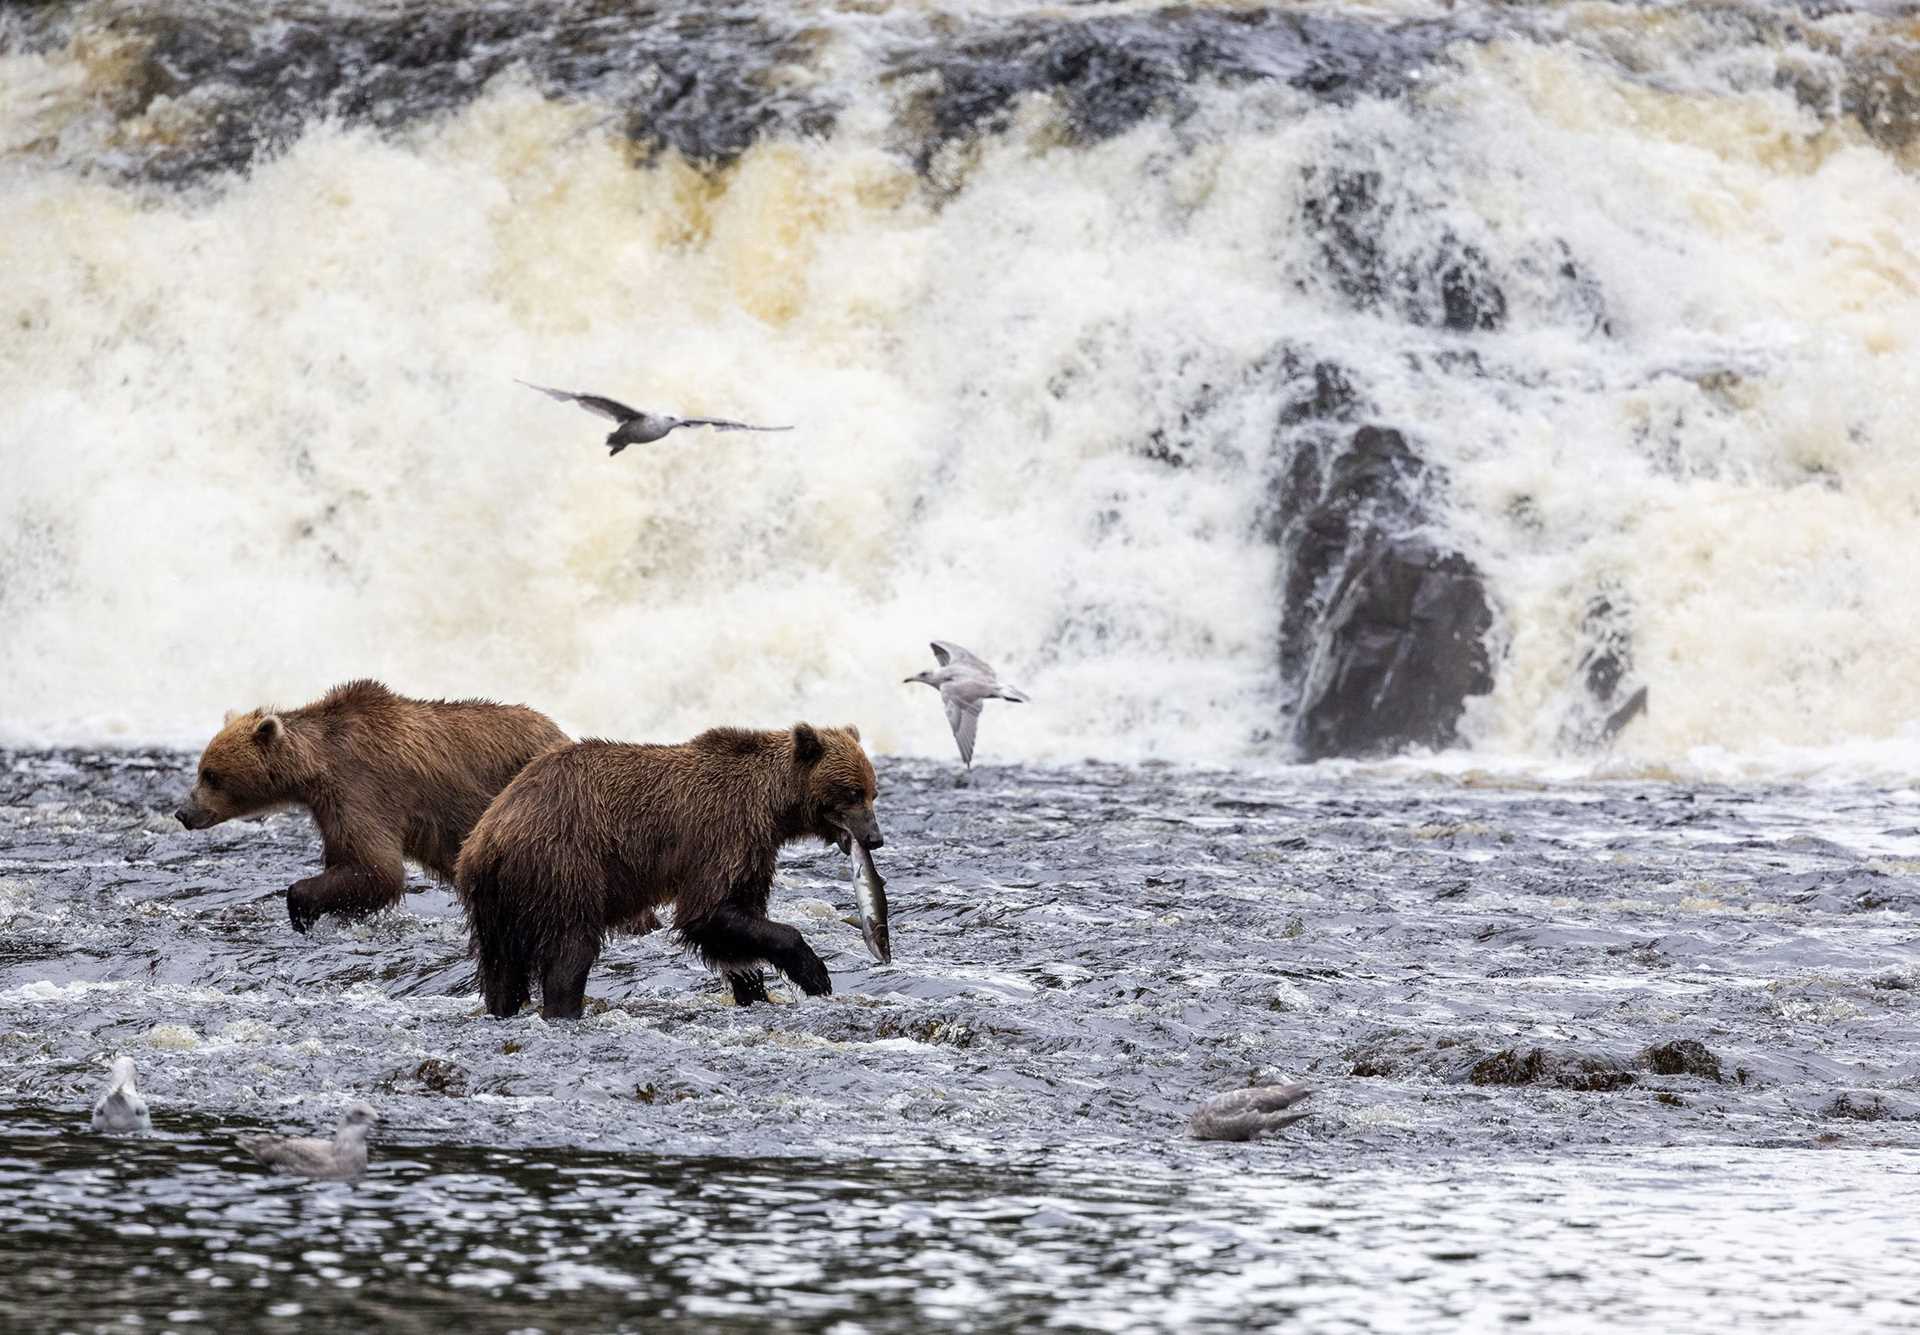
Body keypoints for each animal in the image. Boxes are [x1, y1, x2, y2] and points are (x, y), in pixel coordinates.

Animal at [177, 679, 568, 929]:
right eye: (201, 770)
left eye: (211, 775)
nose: (183, 812)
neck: (316, 765)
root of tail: (560, 732)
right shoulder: (329, 806)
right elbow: (351, 861)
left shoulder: (362, 788)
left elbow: (377, 867)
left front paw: (301, 907)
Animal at [456, 726, 883, 1021]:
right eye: (852, 792)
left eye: (872, 791)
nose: (874, 838)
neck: (771, 807)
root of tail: (489, 835)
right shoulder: (721, 835)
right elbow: (708, 913)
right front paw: (814, 973)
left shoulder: (753, 854)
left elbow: (737, 926)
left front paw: (753, 991)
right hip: (564, 866)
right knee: (570, 950)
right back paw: (564, 1008)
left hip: (496, 901)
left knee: (501, 969)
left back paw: (501, 1007)